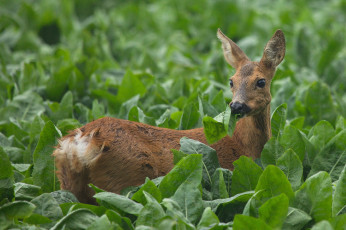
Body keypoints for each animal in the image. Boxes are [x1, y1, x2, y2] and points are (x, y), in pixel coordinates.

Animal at [53, 28, 286, 203]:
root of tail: (81, 141)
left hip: (71, 185)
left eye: (261, 81)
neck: (244, 146)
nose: (236, 105)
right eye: (231, 81)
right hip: (124, 180)